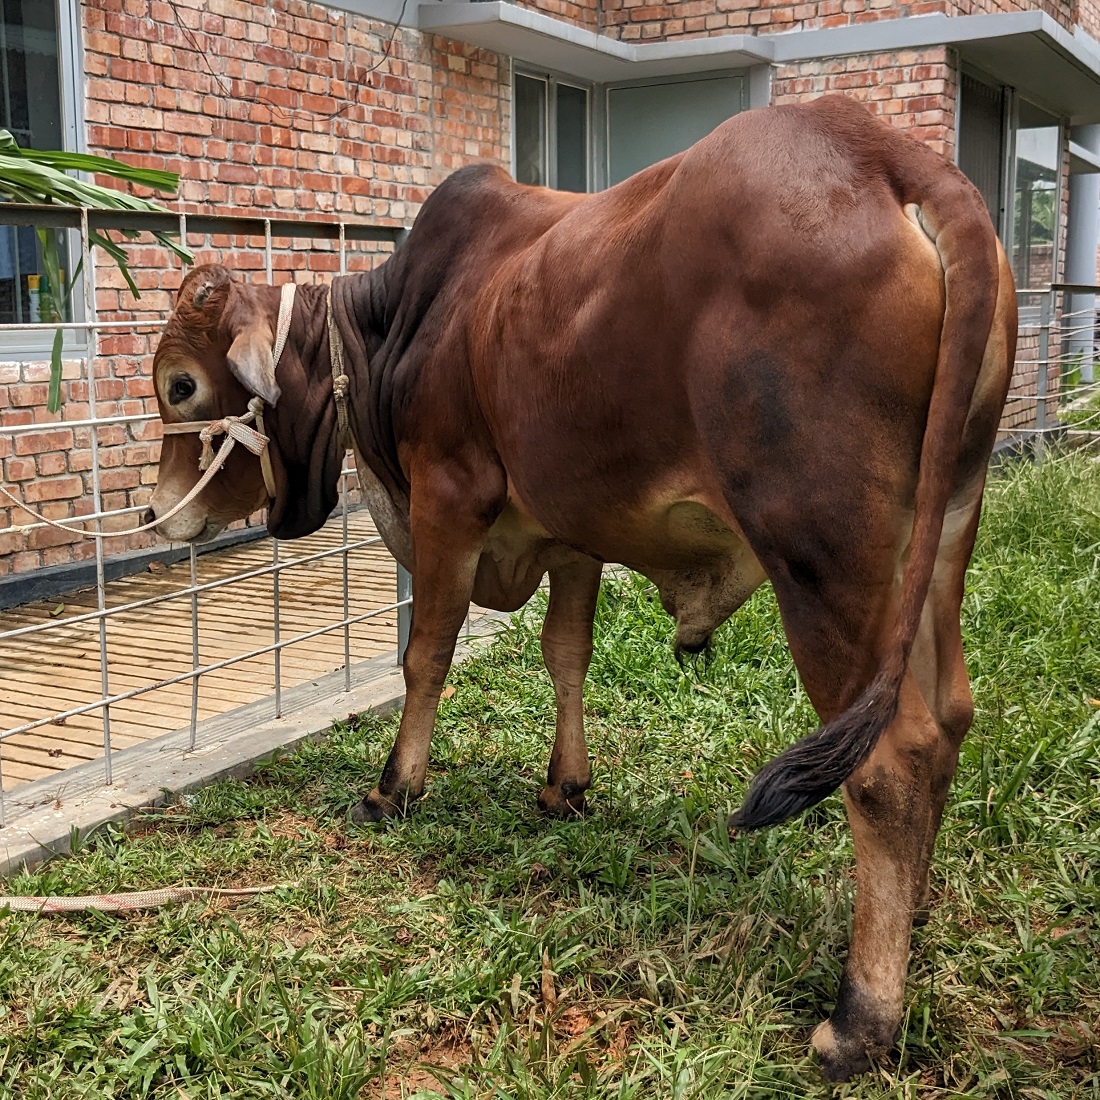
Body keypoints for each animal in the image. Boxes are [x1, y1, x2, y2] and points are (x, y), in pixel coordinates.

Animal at [146, 99, 1012, 1078]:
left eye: (183, 384)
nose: (156, 512)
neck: (396, 328)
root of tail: (885, 154)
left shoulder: (450, 499)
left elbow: (426, 656)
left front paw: (395, 788)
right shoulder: (568, 532)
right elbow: (567, 654)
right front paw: (566, 786)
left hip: (822, 554)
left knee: (889, 760)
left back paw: (863, 1015)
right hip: (944, 530)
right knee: (948, 719)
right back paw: (909, 917)